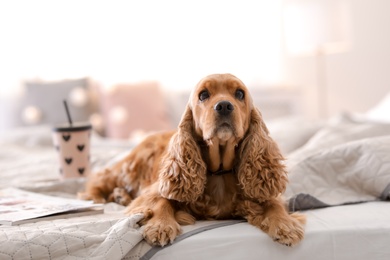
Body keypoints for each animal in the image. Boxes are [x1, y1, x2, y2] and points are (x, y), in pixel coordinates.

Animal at [78, 73, 304, 246]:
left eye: (240, 94)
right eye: (203, 95)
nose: (224, 106)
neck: (219, 171)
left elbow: (274, 203)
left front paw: (285, 224)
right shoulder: (157, 189)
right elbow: (161, 201)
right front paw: (161, 226)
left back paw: (120, 196)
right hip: (131, 167)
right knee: (101, 178)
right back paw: (98, 197)